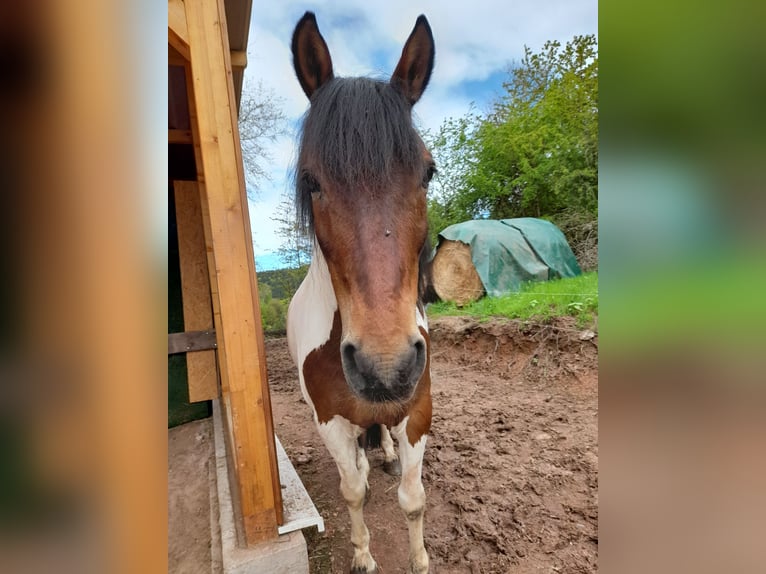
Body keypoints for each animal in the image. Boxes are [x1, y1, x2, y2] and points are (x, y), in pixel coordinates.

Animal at [288, 11, 440, 574]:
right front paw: (363, 557)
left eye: (428, 171)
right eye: (311, 181)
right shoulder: (330, 422)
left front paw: (420, 560)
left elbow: (414, 499)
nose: (385, 366)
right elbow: (352, 490)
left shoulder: (417, 412)